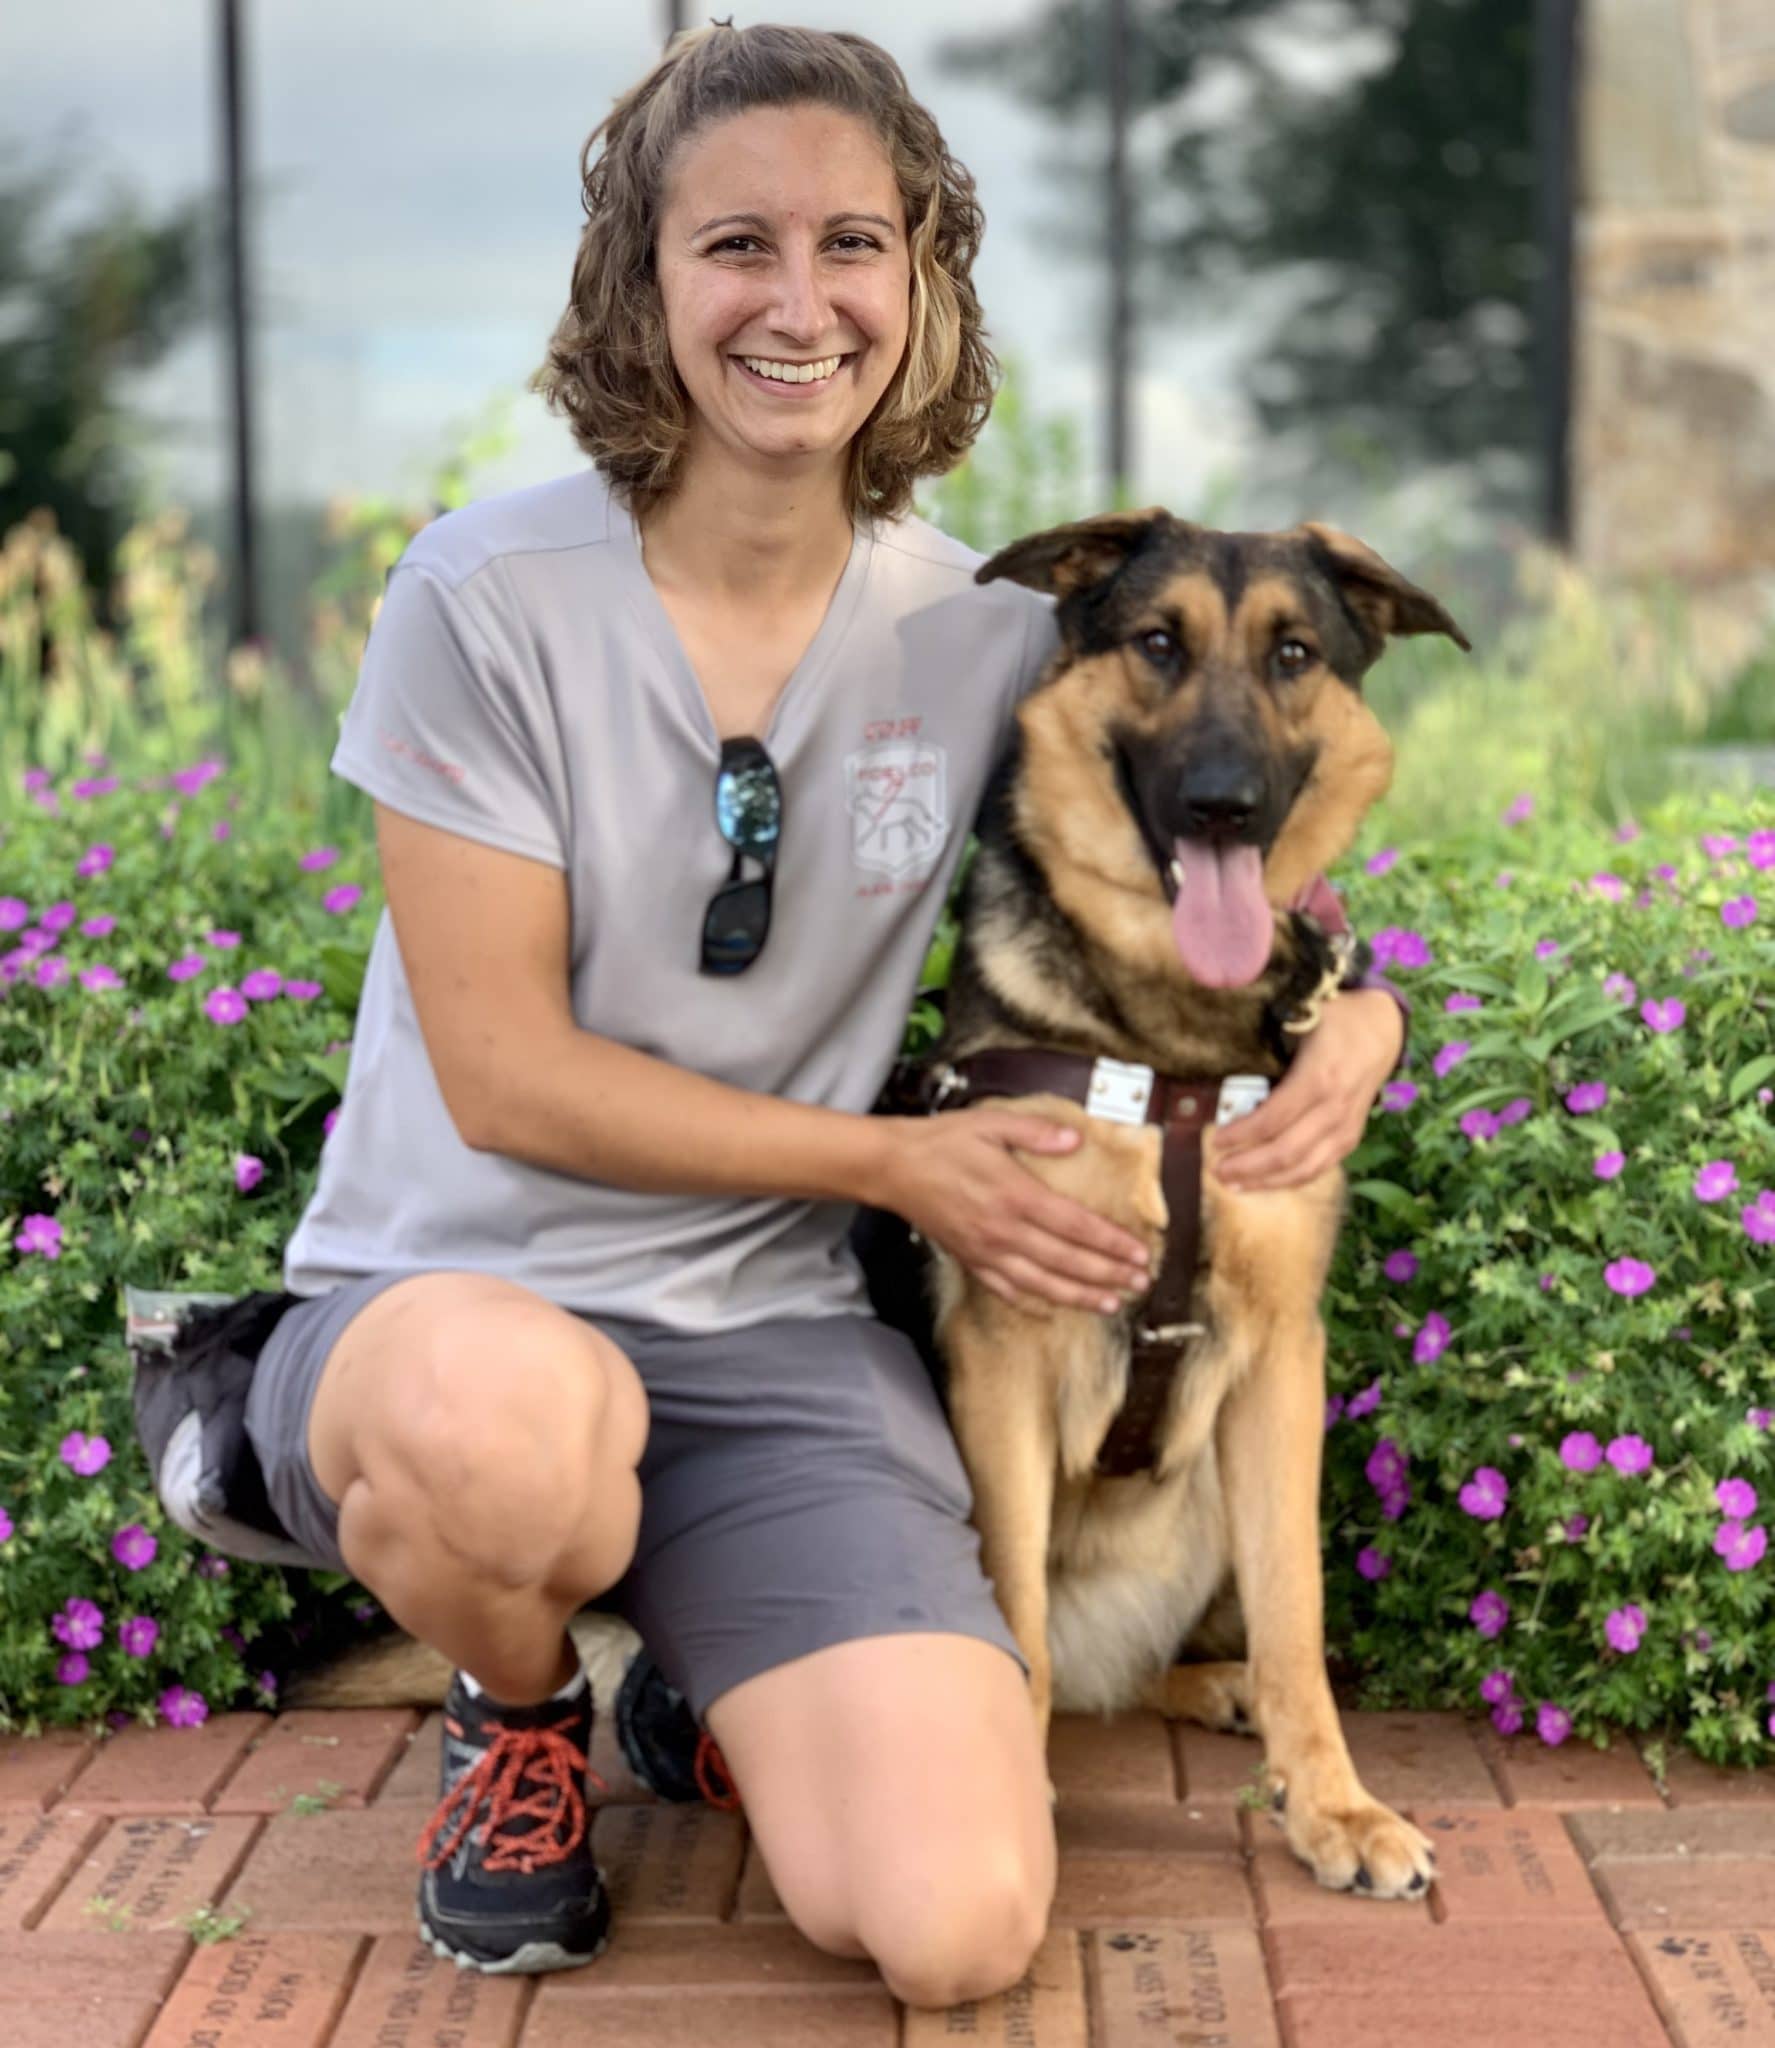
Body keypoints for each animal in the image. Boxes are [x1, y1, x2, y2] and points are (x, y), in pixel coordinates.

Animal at [917, 507, 1474, 1884]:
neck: (1169, 1049)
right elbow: (1011, 1598)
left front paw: (1332, 1804)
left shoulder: (1279, 1360)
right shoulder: (1005, 1349)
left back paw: (1220, 1694)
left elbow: (1295, 1616)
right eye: (1159, 643)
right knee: (1061, 1661)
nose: (1225, 801)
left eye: (1291, 652)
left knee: (1155, 1667)